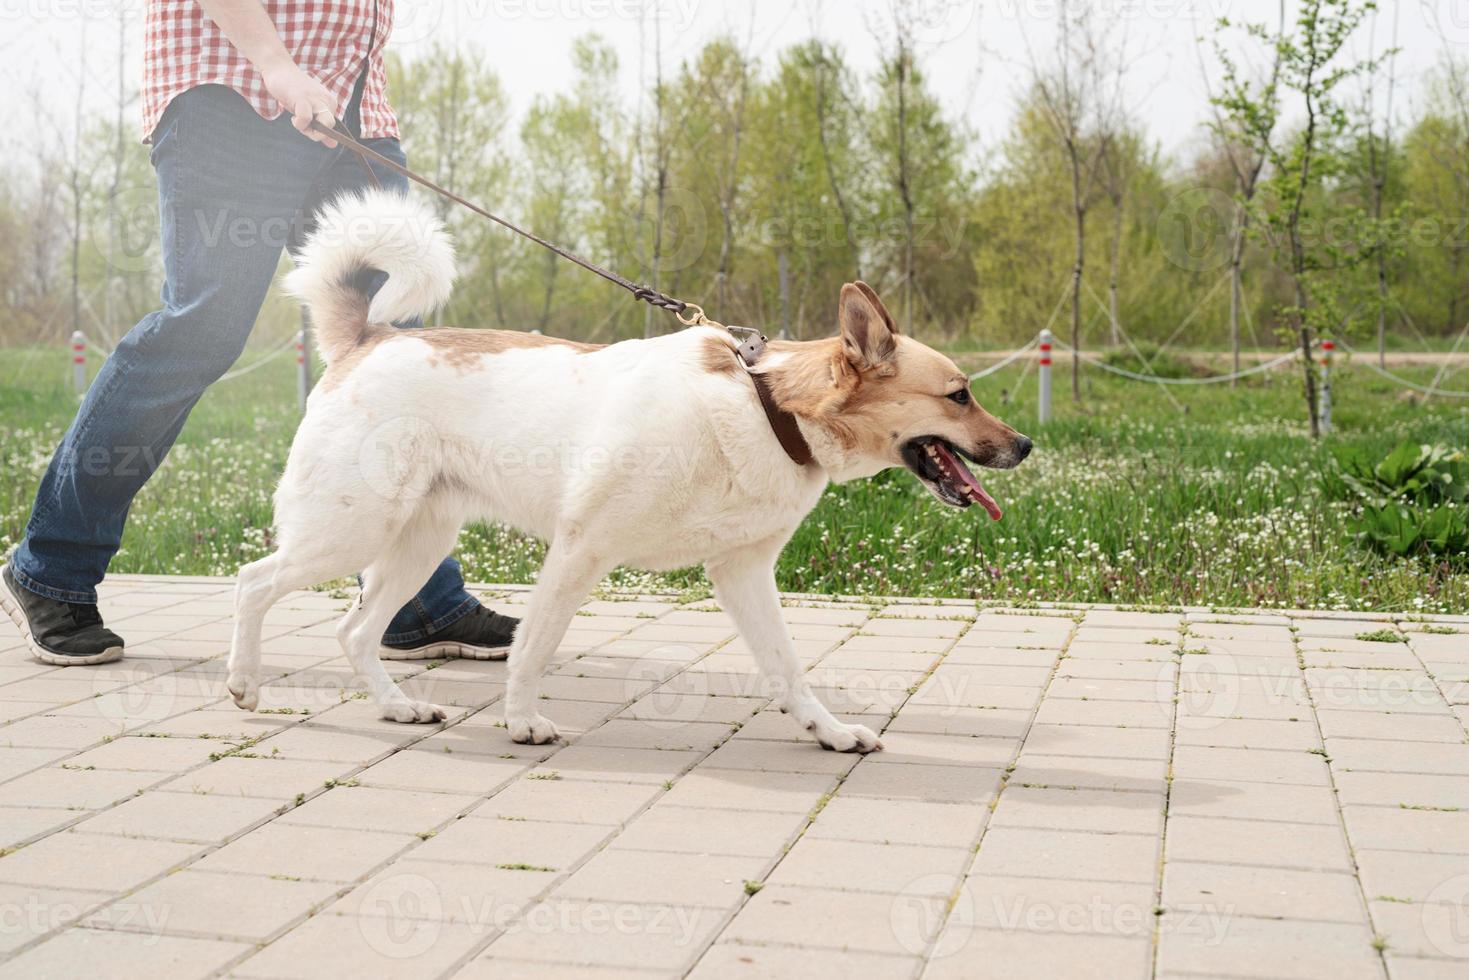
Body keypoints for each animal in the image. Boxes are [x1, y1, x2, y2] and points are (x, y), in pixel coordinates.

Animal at [229, 193, 1034, 758]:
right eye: (960, 394)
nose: (1024, 445)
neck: (767, 406)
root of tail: (366, 340)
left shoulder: (743, 574)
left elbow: (788, 669)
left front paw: (827, 730)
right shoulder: (578, 550)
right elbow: (534, 648)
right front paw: (521, 721)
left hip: (416, 544)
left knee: (354, 631)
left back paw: (396, 705)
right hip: (350, 528)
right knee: (254, 581)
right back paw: (243, 682)